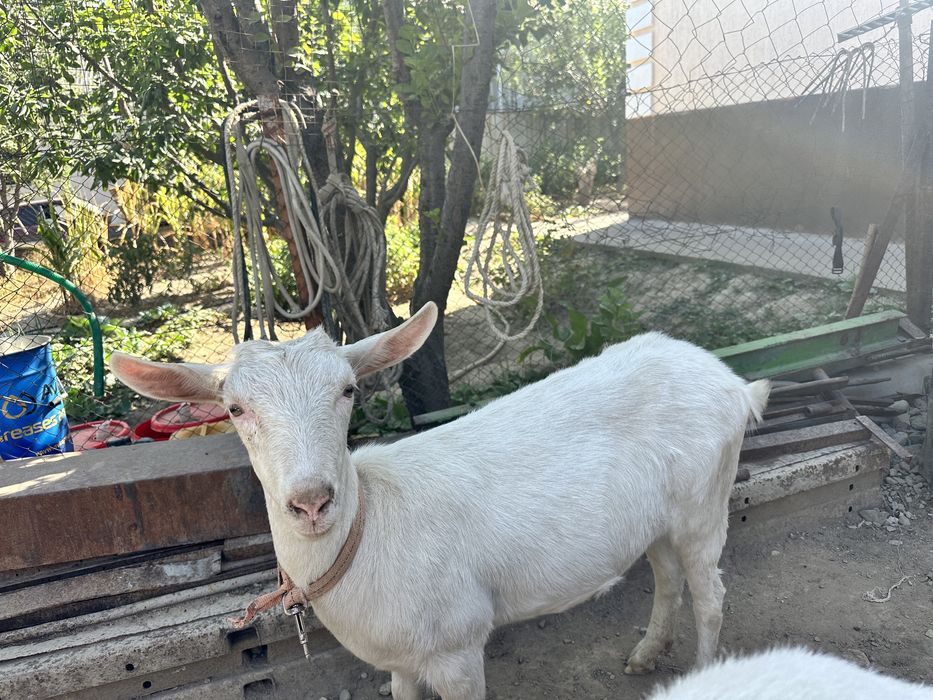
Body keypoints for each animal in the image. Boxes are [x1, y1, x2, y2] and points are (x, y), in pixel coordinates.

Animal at [111, 302, 769, 700]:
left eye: (348, 391)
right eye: (234, 408)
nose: (311, 502)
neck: (369, 533)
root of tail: (735, 384)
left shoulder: (458, 643)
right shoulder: (401, 661)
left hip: (705, 501)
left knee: (710, 594)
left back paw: (704, 670)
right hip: (659, 519)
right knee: (667, 577)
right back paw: (646, 654)